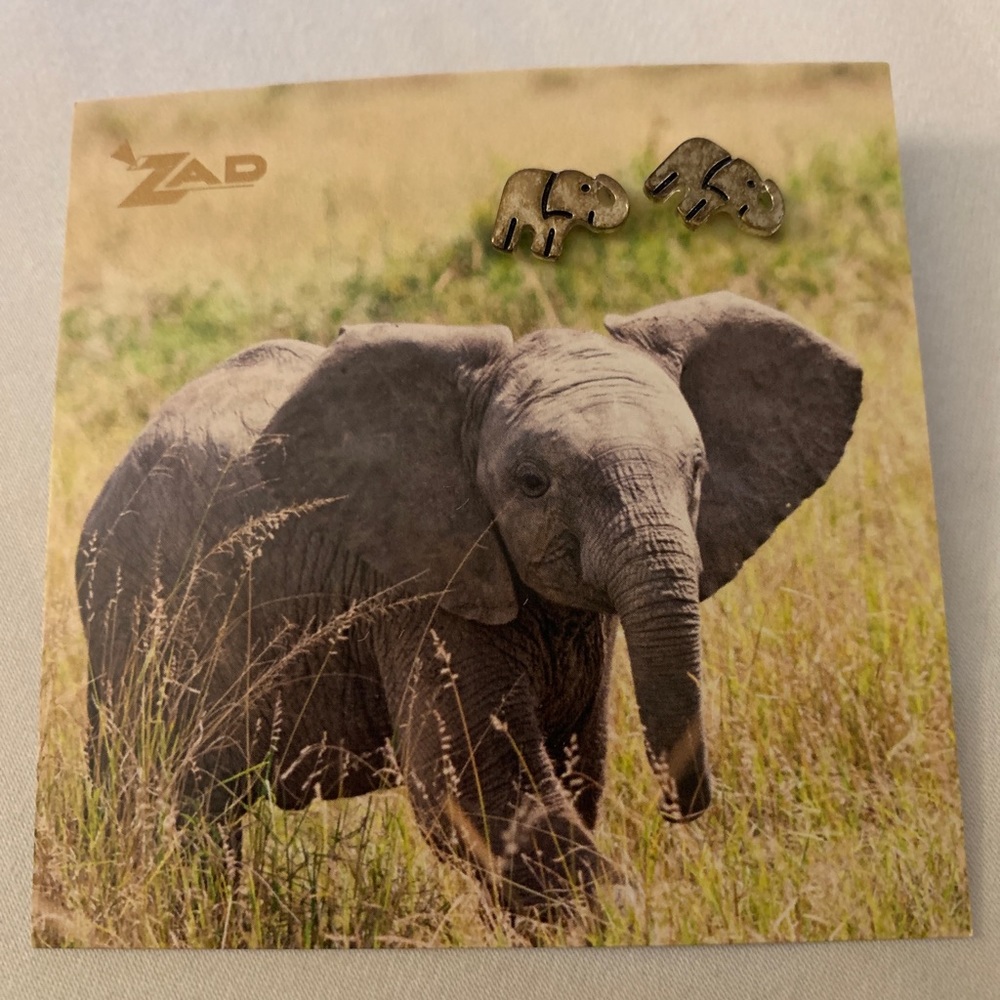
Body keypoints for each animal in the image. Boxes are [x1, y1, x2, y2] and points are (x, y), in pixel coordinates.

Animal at [78, 292, 861, 915]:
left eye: (696, 469)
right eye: (532, 483)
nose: (682, 806)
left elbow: (576, 769)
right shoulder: (420, 593)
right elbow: (479, 783)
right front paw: (628, 917)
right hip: (129, 620)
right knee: (165, 803)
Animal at [643, 138, 785, 236]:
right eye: (751, 184)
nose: (768, 182)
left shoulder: (717, 196)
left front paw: (687, 218)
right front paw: (686, 217)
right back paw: (652, 191)